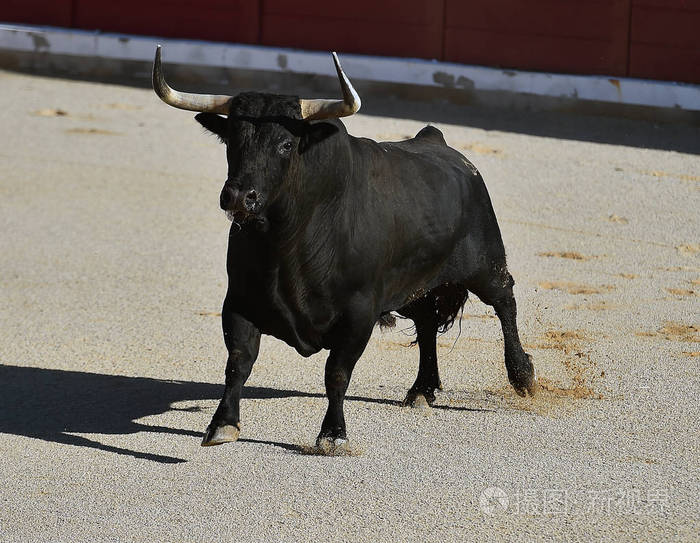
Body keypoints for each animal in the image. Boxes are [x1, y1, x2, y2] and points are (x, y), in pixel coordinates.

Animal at [153, 50, 536, 450]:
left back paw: (522, 375)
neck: (284, 243)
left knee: (505, 300)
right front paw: (223, 424)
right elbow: (238, 361)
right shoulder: (240, 301)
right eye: (231, 140)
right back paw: (421, 390)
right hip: (412, 285)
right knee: (428, 321)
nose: (240, 197)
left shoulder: (358, 313)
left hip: (485, 262)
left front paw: (333, 435)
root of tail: (437, 141)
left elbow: (336, 372)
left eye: (285, 144)